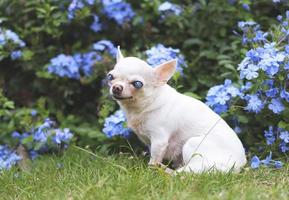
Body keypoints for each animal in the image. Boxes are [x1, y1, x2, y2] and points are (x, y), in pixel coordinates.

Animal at [107, 47, 246, 173]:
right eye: (110, 77)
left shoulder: (159, 141)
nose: (116, 87)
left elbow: (154, 159)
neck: (143, 106)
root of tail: (238, 166)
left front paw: (151, 170)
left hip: (192, 145)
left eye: (137, 84)